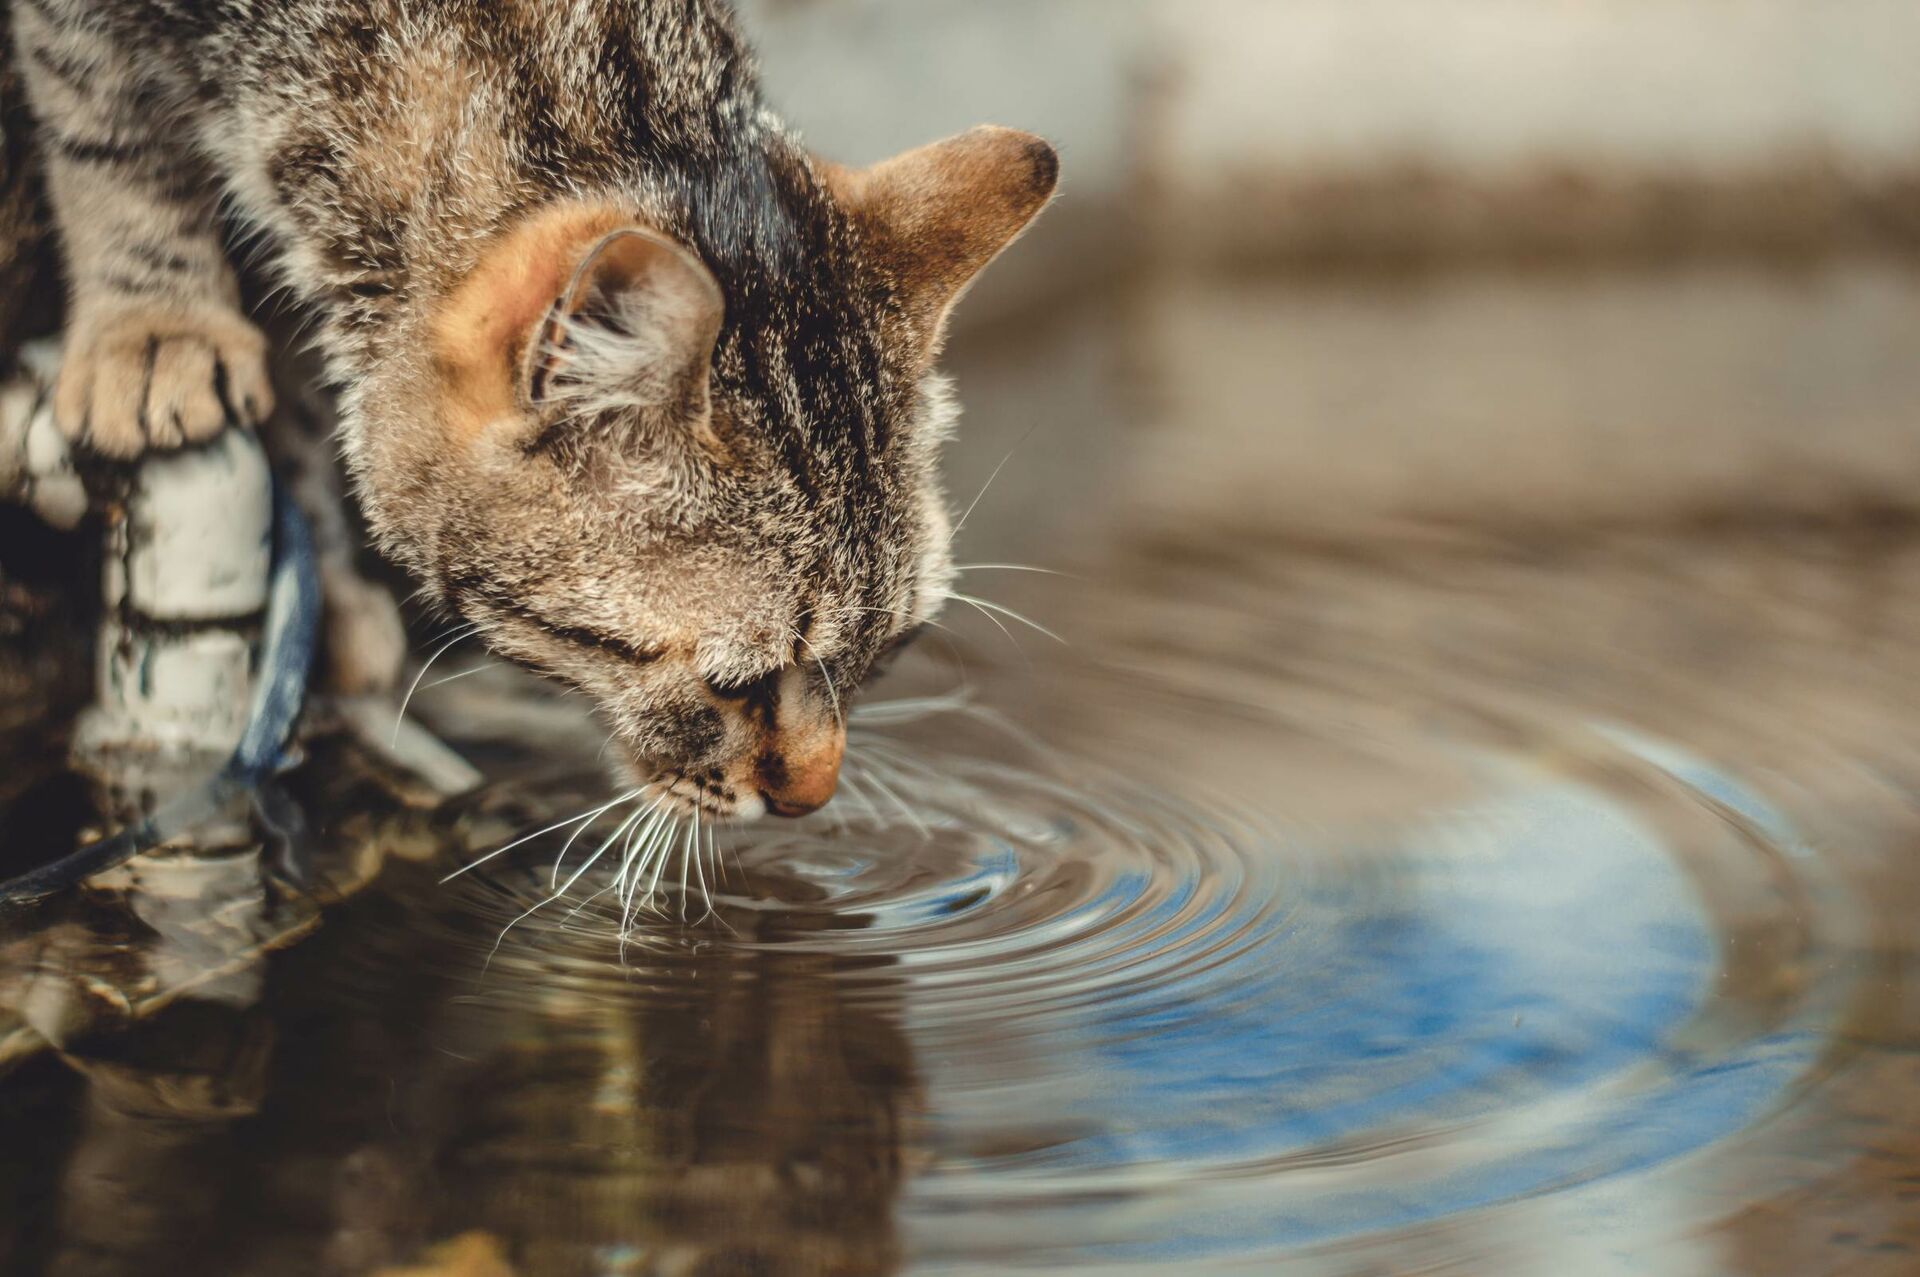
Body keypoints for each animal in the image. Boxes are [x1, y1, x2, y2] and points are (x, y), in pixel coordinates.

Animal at [11, 0, 1052, 818]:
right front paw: (153, 321)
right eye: (737, 684)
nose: (814, 797)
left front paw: (327, 588)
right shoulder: (91, 28)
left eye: (891, 649)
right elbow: (106, 126)